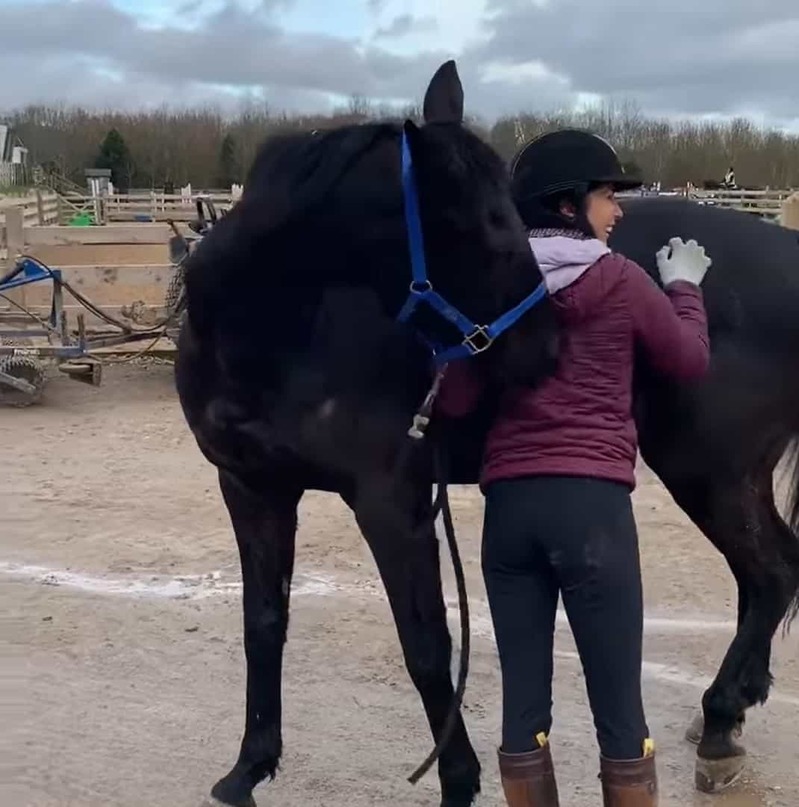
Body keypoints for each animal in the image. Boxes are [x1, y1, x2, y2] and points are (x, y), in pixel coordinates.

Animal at [173, 61, 564, 807]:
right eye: (482, 223)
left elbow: (426, 644)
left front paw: (458, 780)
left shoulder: (391, 504)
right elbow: (263, 624)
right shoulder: (251, 488)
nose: (546, 346)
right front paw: (249, 765)